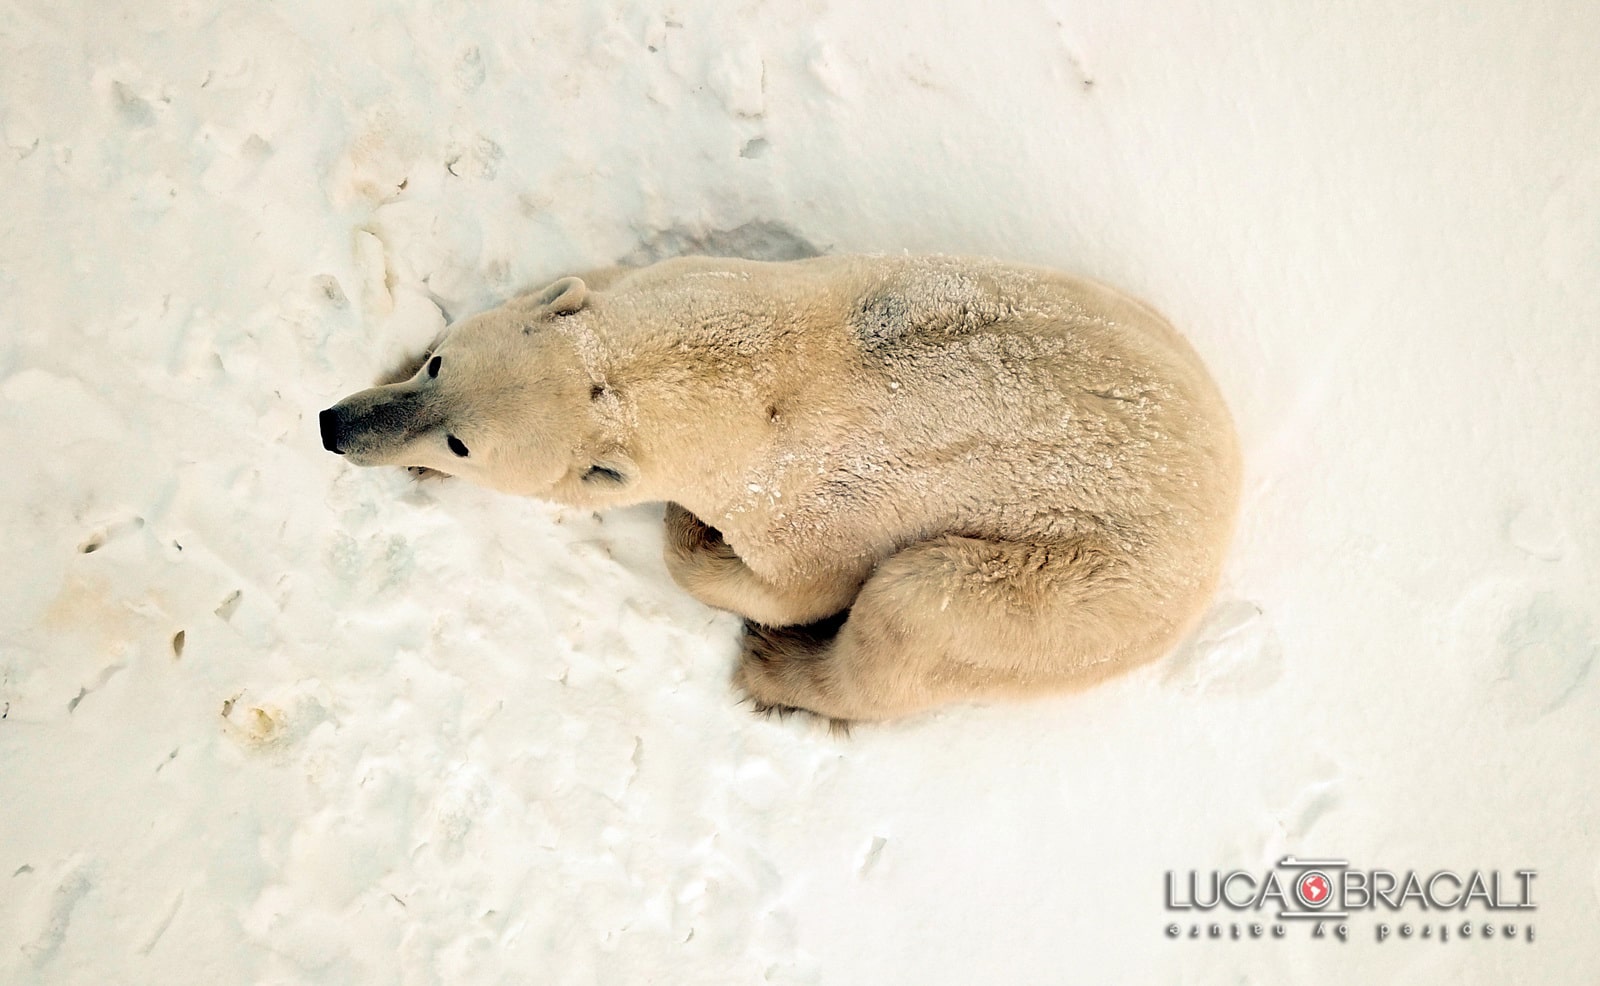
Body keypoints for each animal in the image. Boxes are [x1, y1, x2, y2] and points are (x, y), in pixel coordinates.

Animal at [318, 254, 1241, 720]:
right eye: (439, 367)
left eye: (464, 443)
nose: (335, 425)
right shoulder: (710, 275)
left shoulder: (808, 502)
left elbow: (796, 585)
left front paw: (690, 534)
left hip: (1098, 584)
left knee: (922, 603)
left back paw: (776, 672)